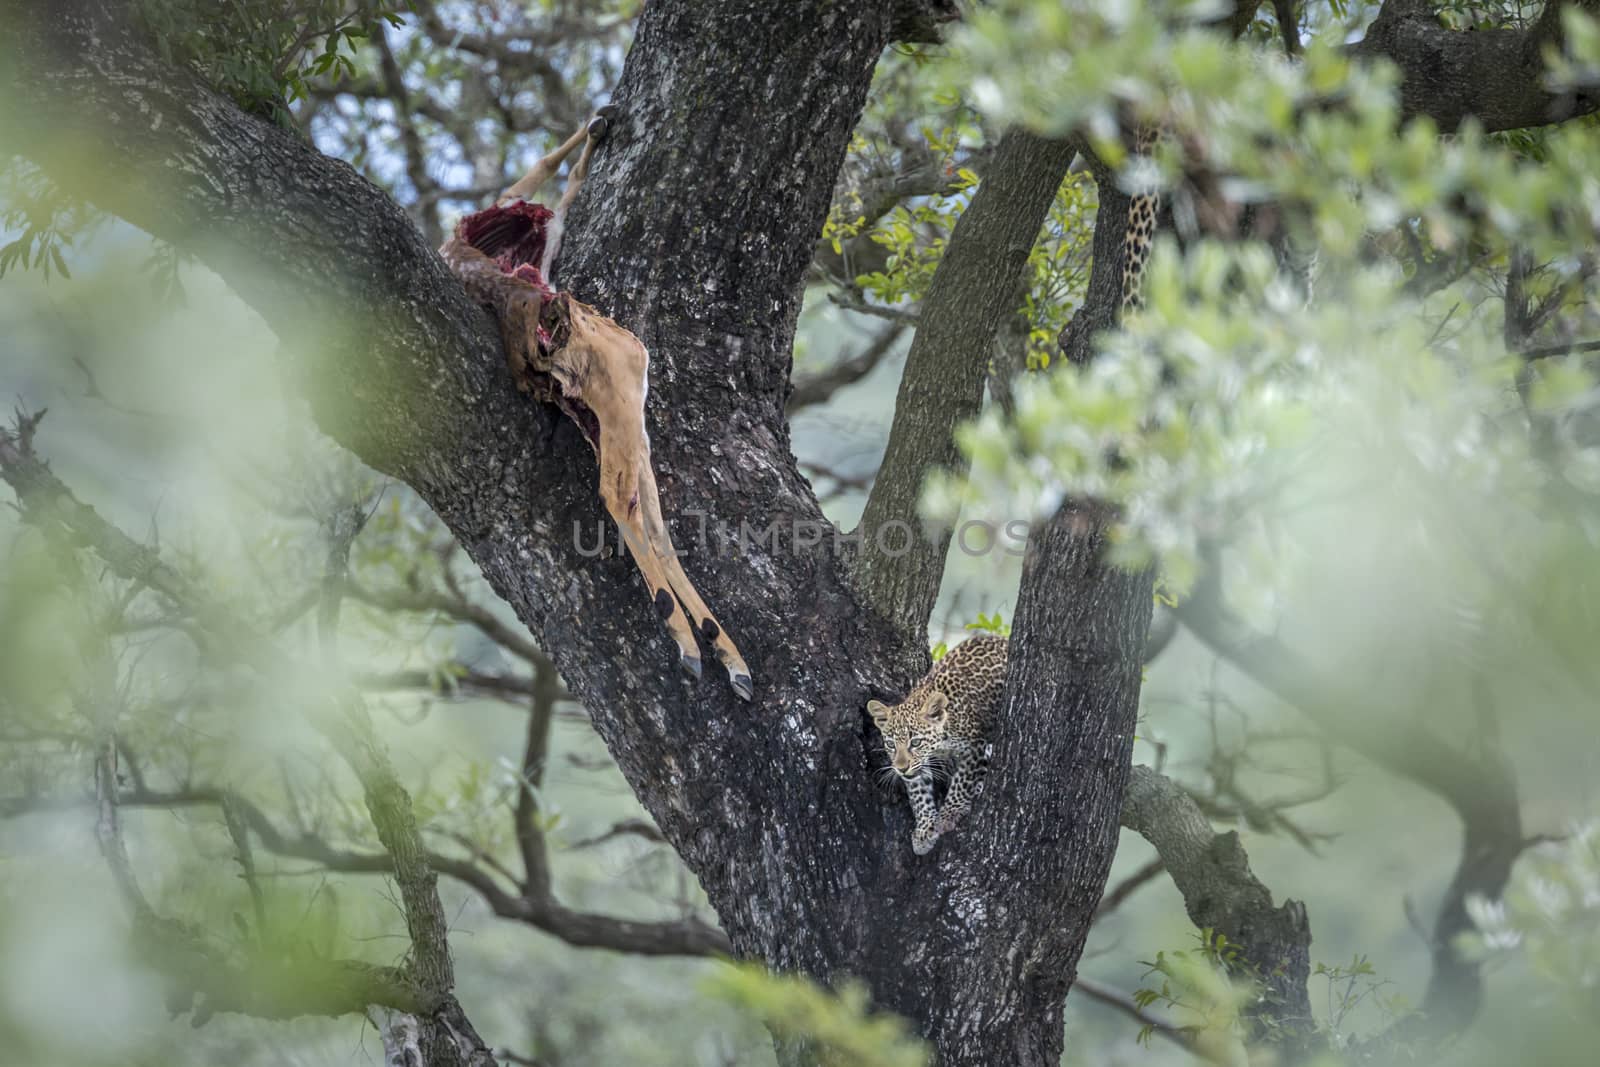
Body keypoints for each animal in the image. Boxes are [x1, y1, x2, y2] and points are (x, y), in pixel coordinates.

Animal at [870, 639, 1004, 857]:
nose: (901, 769)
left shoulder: (974, 746)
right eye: (891, 744)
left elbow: (962, 781)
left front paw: (949, 814)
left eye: (915, 742)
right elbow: (919, 794)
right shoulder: (918, 767)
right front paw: (924, 830)